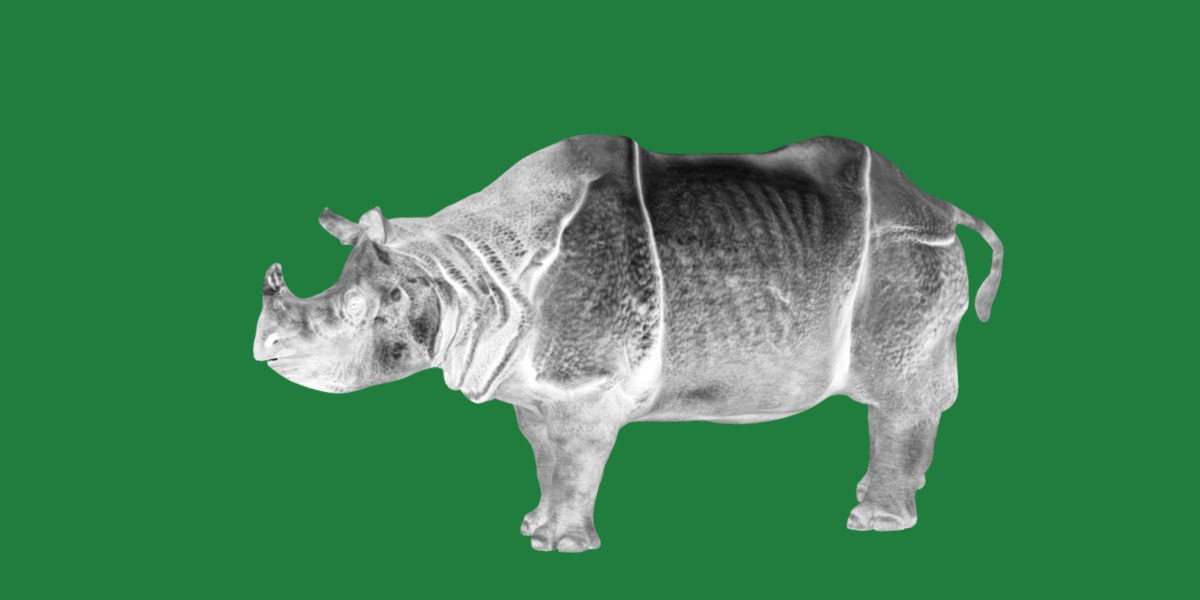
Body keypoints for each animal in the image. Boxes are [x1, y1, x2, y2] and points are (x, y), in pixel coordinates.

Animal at [253, 135, 1003, 552]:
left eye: (358, 312)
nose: (265, 352)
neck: (461, 273)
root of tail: (939, 204)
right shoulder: (536, 381)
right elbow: (546, 454)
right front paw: (533, 525)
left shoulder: (588, 380)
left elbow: (577, 458)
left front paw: (559, 547)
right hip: (905, 244)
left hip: (906, 248)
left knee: (899, 391)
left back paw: (872, 523)